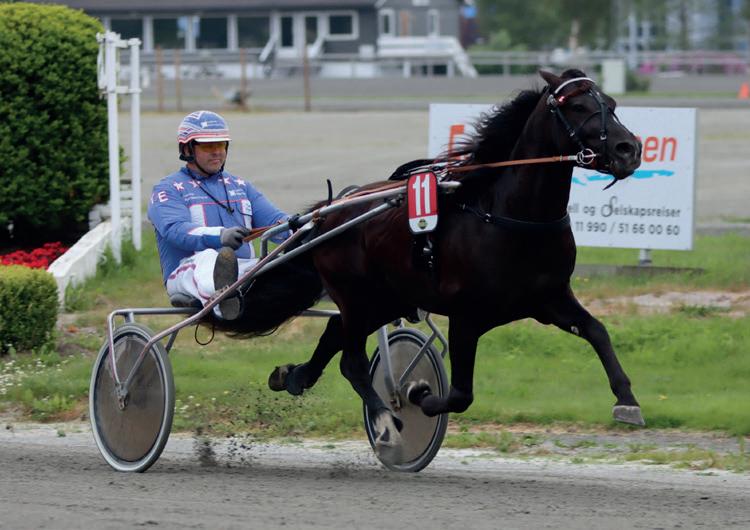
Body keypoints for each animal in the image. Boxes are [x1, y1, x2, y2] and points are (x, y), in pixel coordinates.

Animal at [222, 69, 644, 452]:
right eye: (577, 106)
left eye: (611, 104)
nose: (629, 149)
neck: (508, 216)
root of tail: (328, 215)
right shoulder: (466, 316)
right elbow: (460, 395)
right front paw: (419, 396)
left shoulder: (549, 298)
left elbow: (597, 331)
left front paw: (627, 401)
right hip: (356, 296)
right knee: (352, 361)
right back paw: (384, 420)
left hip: (384, 298)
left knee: (333, 334)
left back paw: (292, 376)